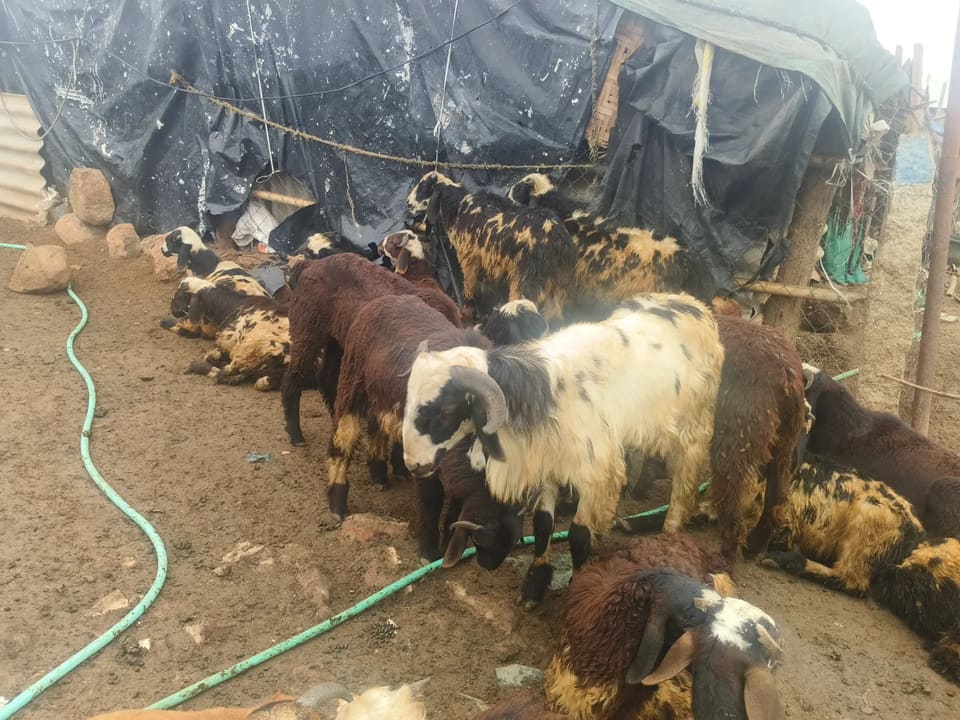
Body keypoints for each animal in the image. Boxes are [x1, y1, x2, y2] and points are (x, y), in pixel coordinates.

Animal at [281, 253, 461, 447]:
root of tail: (310, 264)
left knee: (327, 379)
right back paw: (296, 434)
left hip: (337, 342)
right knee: (294, 377)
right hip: (308, 332)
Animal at [323, 293, 490, 520]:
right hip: (352, 380)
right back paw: (337, 504)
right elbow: (431, 498)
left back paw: (379, 475)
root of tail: (385, 300)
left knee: (377, 425)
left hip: (381, 393)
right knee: (343, 437)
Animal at [401, 292, 725, 605]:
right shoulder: (547, 465)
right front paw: (534, 583)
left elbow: (577, 534)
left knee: (683, 484)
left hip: (694, 425)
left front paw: (579, 581)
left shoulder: (592, 474)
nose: (412, 464)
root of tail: (692, 303)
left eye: (445, 411)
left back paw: (668, 531)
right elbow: (543, 525)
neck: (541, 395)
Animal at [406, 171, 578, 324]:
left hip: (528, 282)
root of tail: (559, 241)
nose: (407, 203)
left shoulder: (469, 259)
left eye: (423, 187)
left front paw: (465, 316)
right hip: (558, 287)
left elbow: (469, 294)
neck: (458, 205)